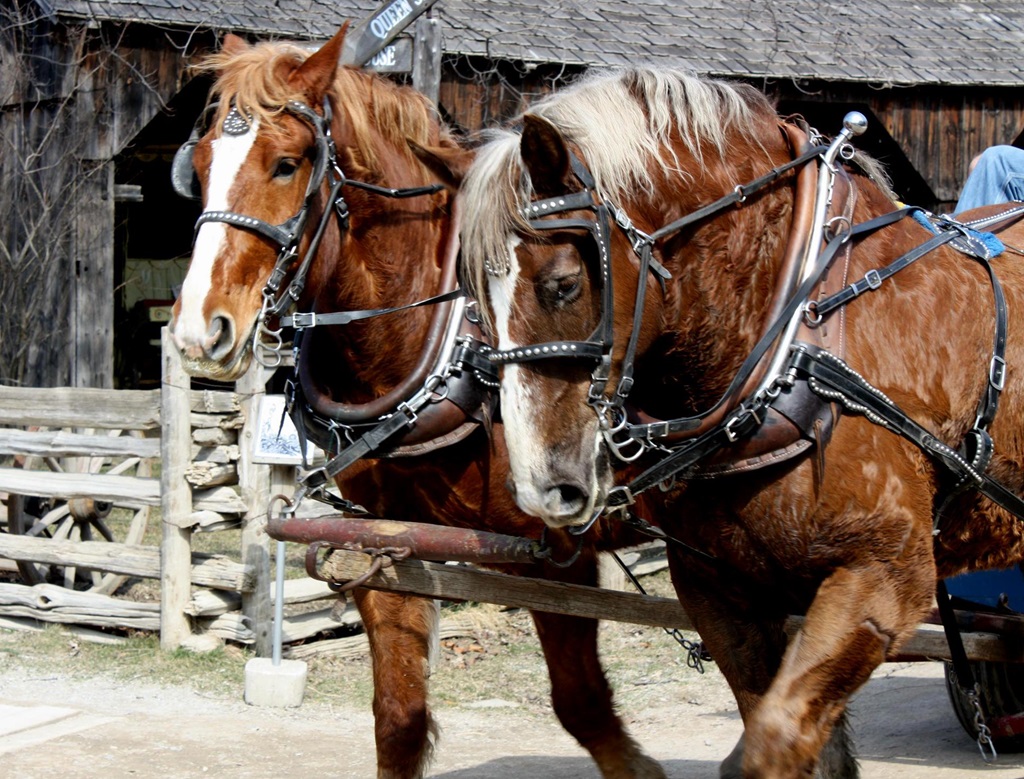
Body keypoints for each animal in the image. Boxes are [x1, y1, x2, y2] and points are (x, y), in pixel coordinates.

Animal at [167, 28, 665, 779]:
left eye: (286, 165)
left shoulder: (554, 548)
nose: (200, 330)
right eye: (198, 167)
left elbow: (583, 704)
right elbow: (398, 718)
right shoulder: (384, 544)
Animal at [436, 66, 1024, 777]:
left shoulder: (885, 580)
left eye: (564, 284)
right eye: (472, 298)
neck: (798, 328)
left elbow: (771, 745)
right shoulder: (722, 593)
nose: (544, 489)